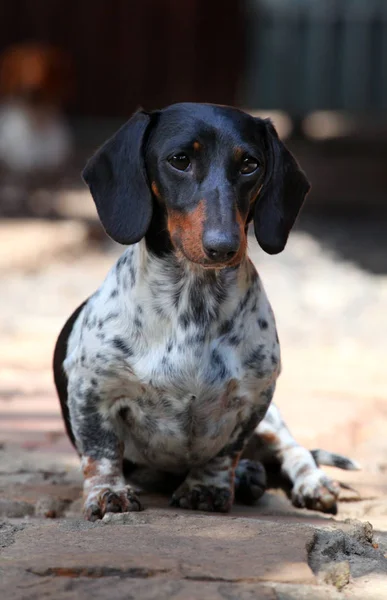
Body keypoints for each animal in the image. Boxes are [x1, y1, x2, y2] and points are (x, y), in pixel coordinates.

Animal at [53, 103, 360, 520]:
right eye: (179, 160)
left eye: (249, 164)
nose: (223, 245)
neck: (194, 307)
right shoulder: (93, 390)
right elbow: (100, 451)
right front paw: (108, 494)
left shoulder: (255, 398)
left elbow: (224, 453)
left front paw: (206, 488)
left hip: (273, 419)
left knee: (292, 449)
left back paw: (309, 482)